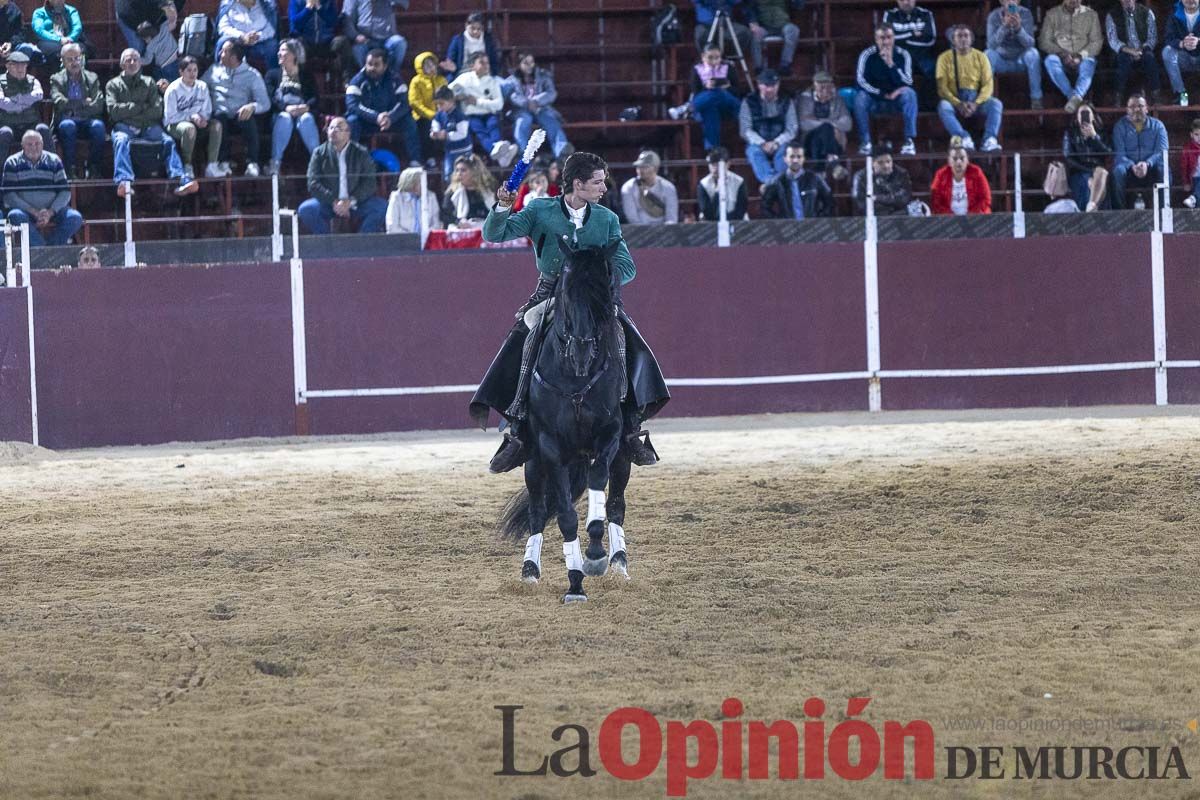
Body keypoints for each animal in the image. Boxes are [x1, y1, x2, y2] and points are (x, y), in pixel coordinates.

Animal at [496, 241, 633, 604]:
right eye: (567, 294)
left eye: (604, 294)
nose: (582, 353)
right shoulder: (550, 447)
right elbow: (565, 517)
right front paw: (575, 583)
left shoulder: (611, 435)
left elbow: (599, 488)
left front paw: (596, 555)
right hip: (533, 462)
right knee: (537, 511)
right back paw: (529, 571)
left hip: (623, 457)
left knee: (616, 504)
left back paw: (619, 564)